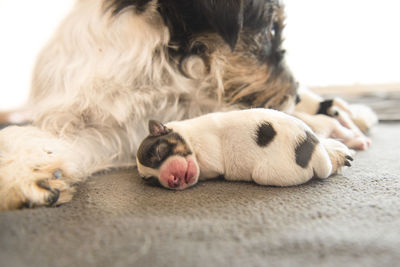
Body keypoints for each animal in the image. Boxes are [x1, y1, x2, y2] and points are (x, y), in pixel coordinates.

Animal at [138, 109, 354, 191]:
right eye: (151, 180)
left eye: (159, 152)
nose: (171, 180)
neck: (188, 135)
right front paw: (337, 151)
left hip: (266, 174)